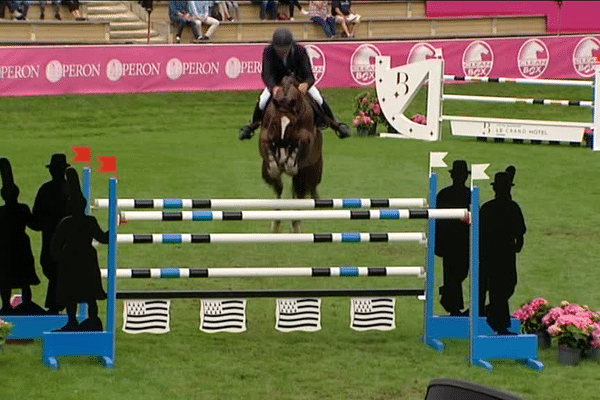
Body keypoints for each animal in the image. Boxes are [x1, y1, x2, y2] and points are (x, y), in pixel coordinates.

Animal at [258, 75, 324, 233]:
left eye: (293, 124)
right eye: (274, 123)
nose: (282, 143)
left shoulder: (306, 139)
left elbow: (298, 146)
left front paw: (288, 164)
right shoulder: (264, 137)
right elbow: (269, 151)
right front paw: (277, 165)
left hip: (312, 169)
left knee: (300, 192)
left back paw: (296, 224)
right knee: (278, 188)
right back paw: (276, 223)